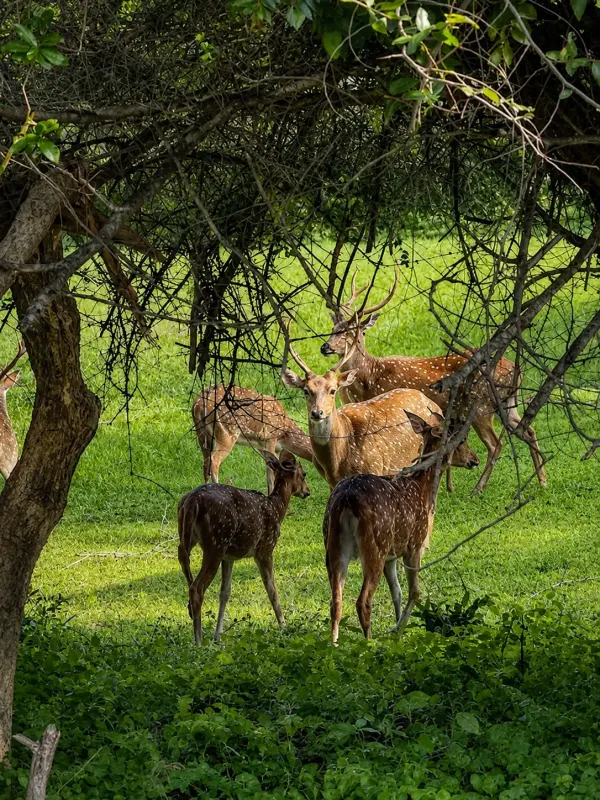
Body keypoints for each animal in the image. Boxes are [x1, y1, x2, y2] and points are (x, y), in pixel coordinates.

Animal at [178, 450, 310, 645]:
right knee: (197, 588)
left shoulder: (229, 557)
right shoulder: (265, 549)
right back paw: (199, 641)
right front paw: (283, 626)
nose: (307, 491)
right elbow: (272, 589)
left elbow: (225, 592)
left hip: (189, 540)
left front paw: (218, 635)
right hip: (215, 543)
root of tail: (192, 501)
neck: (277, 509)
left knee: (187, 575)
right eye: (304, 474)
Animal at [280, 325, 479, 489]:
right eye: (306, 390)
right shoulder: (332, 482)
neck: (338, 460)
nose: (317, 412)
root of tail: (427, 399)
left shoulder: (375, 468)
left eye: (332, 390)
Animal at [320, 270, 546, 494]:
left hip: (480, 405)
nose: (325, 347)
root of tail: (517, 370)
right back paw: (542, 480)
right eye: (333, 328)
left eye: (351, 332)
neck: (369, 377)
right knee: (528, 430)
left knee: (495, 444)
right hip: (506, 403)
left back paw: (478, 488)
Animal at [324, 411, 479, 645]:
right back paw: (369, 642)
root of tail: (346, 499)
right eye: (461, 440)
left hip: (333, 544)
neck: (423, 489)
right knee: (363, 601)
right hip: (375, 545)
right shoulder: (414, 545)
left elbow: (396, 592)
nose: (474, 460)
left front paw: (398, 630)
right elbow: (415, 591)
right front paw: (398, 629)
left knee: (336, 601)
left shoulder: (392, 555)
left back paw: (334, 644)